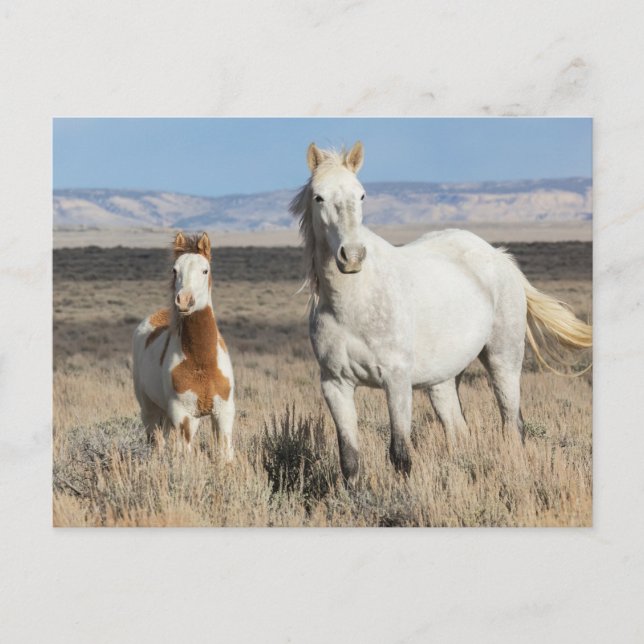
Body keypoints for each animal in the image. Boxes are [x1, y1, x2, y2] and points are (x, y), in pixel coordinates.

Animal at [132, 232, 235, 459]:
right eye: (174, 270)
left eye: (205, 270)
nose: (185, 301)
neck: (202, 362)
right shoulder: (183, 416)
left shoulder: (223, 413)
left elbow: (225, 454)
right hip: (150, 412)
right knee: (157, 443)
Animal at [289, 141, 592, 485]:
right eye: (319, 196)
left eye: (362, 194)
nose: (352, 256)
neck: (353, 303)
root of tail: (500, 257)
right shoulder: (335, 385)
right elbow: (350, 460)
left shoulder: (396, 381)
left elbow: (400, 455)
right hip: (443, 379)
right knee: (459, 431)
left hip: (504, 359)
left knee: (512, 425)